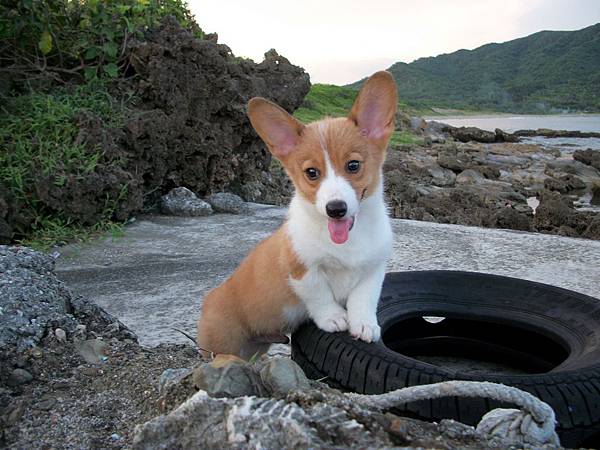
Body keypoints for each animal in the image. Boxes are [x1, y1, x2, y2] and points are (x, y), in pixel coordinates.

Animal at [197, 70, 400, 358]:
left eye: (353, 165)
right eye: (311, 173)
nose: (335, 209)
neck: (347, 240)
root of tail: (207, 299)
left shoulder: (373, 268)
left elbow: (364, 298)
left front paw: (364, 325)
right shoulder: (301, 269)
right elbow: (319, 295)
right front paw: (334, 318)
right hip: (223, 344)